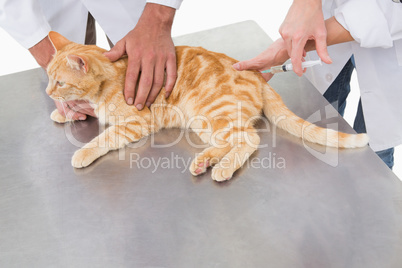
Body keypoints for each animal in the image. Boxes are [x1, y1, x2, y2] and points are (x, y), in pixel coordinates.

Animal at [45, 31, 370, 182]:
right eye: (48, 77)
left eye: (59, 82)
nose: (49, 91)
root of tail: (256, 75)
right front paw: (64, 112)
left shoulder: (137, 122)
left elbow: (104, 137)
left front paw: (82, 152)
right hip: (202, 120)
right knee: (231, 140)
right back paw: (205, 160)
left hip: (213, 112)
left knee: (249, 139)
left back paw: (222, 167)